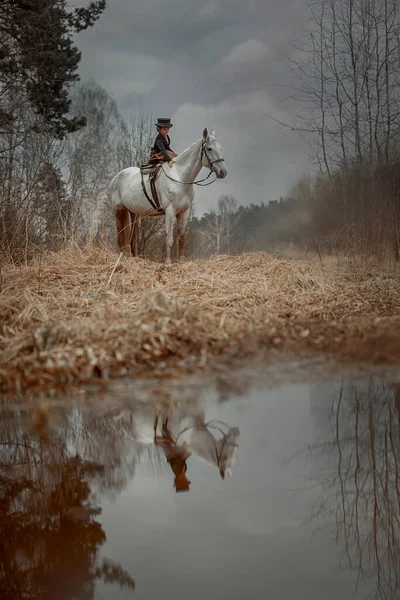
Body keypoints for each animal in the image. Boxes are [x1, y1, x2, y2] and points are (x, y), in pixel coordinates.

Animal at [108, 127, 227, 264]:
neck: (180, 177)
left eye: (221, 148)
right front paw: (168, 262)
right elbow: (169, 238)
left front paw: (181, 260)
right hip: (119, 210)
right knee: (120, 237)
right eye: (209, 149)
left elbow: (181, 237)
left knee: (132, 237)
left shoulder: (184, 212)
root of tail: (116, 178)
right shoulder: (170, 211)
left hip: (134, 213)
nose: (223, 172)